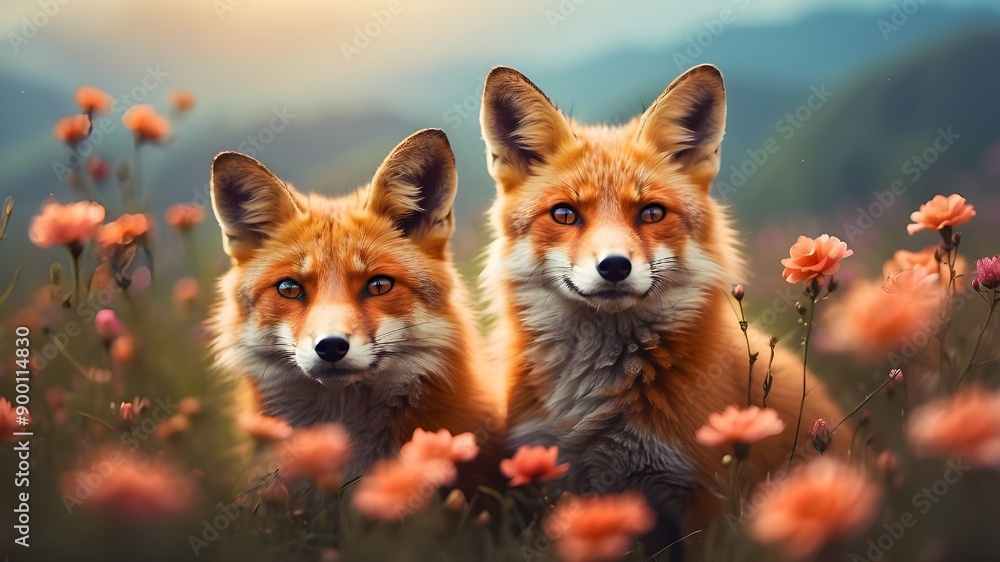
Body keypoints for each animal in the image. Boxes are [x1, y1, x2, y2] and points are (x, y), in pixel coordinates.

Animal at [479, 65, 847, 554]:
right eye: (564, 214)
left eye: (652, 213)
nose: (615, 266)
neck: (593, 398)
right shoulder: (546, 482)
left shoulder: (705, 494)